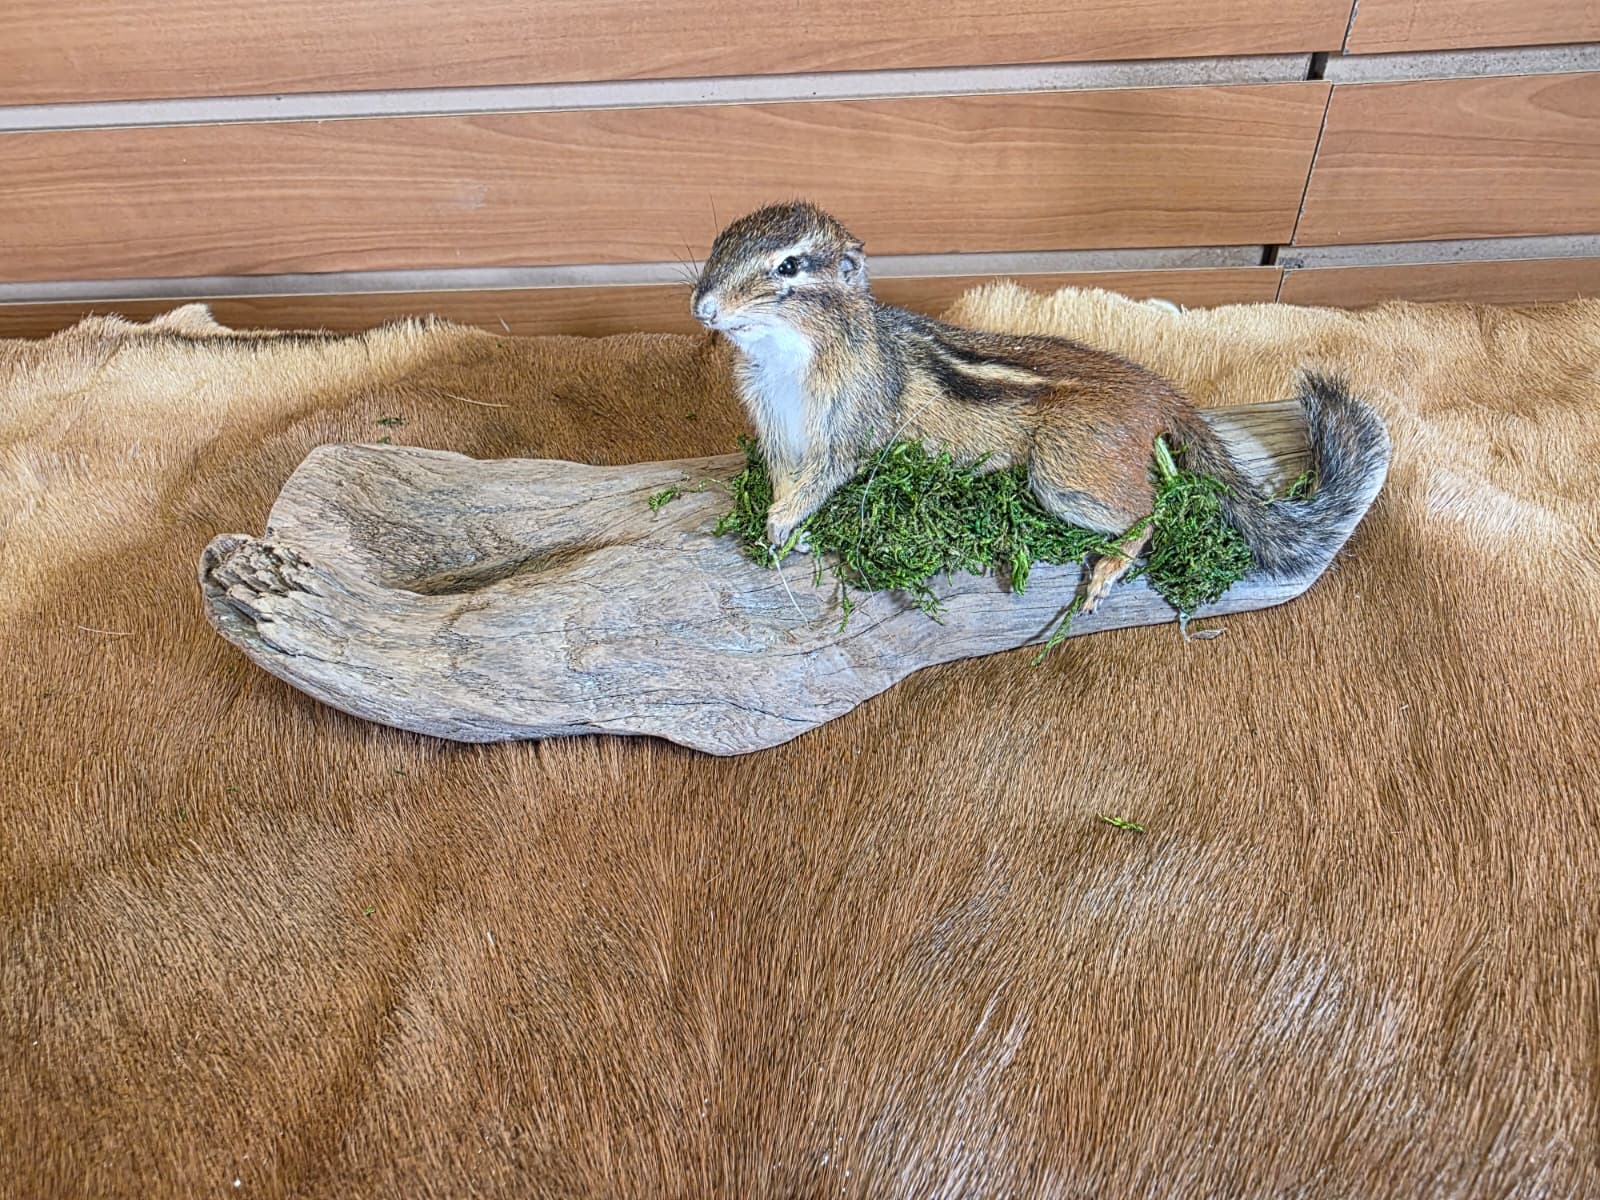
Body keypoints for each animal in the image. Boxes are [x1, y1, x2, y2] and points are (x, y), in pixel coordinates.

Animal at [690, 200, 1389, 609]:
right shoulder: (776, 430)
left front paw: (781, 521)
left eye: (789, 267)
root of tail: (1160, 391)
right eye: (719, 242)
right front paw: (783, 527)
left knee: (1150, 511)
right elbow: (786, 475)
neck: (787, 361)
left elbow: (828, 473)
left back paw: (1109, 565)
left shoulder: (853, 422)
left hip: (1063, 472)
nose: (702, 307)